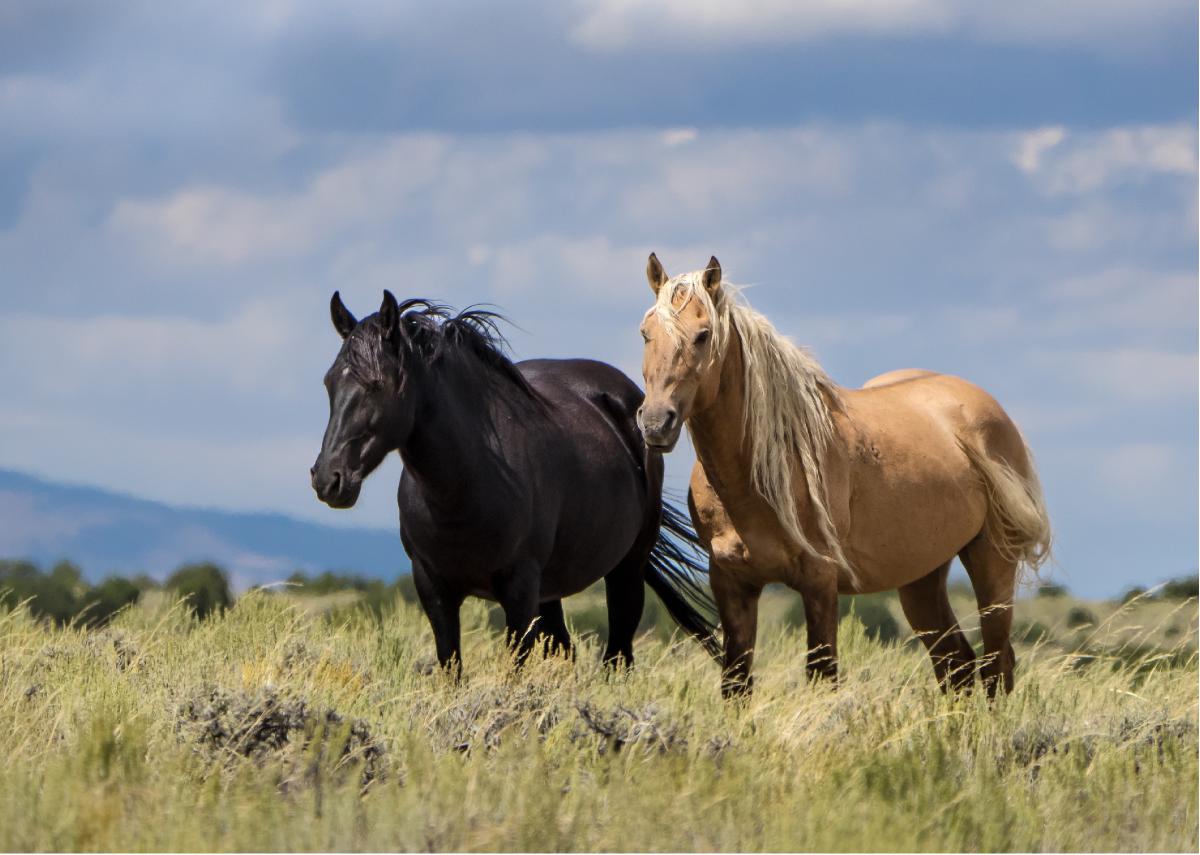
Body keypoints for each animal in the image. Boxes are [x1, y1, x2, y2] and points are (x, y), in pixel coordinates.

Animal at [314, 290, 715, 672]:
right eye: (329, 382)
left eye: (377, 384)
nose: (328, 479)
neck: (464, 488)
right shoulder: (434, 589)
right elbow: (452, 668)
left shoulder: (519, 592)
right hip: (552, 591)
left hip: (625, 571)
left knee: (617, 657)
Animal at [638, 253, 1051, 696]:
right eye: (646, 333)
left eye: (703, 335)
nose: (656, 423)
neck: (761, 473)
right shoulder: (732, 583)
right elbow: (736, 683)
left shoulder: (820, 581)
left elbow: (822, 675)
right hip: (921, 577)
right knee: (956, 664)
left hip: (992, 561)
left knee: (996, 664)